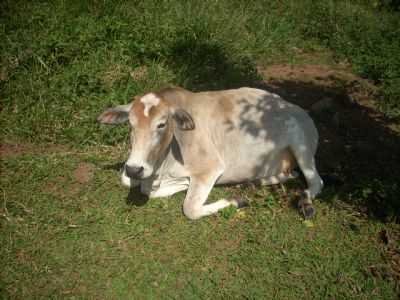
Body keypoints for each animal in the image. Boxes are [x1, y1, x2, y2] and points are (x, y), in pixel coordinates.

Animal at [98, 86, 324, 220]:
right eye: (130, 124)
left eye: (161, 124)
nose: (134, 169)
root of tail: (294, 107)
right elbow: (133, 183)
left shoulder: (210, 168)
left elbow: (190, 208)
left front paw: (237, 200)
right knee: (291, 174)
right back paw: (252, 182)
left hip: (301, 145)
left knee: (315, 181)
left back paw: (305, 202)